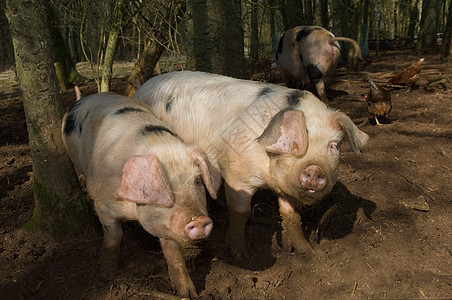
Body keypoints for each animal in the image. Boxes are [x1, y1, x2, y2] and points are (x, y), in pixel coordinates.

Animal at [61, 92, 221, 298]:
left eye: (198, 181)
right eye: (161, 185)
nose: (199, 220)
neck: (133, 210)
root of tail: (87, 97)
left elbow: (173, 251)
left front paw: (188, 294)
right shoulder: (102, 203)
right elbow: (114, 236)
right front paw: (107, 275)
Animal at [133, 70, 368, 260]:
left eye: (333, 146)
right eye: (291, 143)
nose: (314, 169)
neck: (269, 178)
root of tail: (143, 86)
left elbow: (292, 215)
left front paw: (306, 252)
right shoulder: (237, 176)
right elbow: (241, 213)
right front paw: (241, 256)